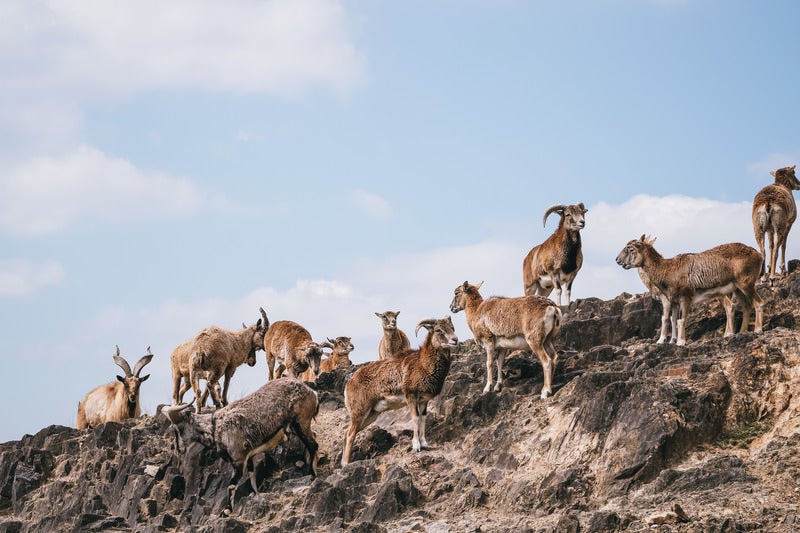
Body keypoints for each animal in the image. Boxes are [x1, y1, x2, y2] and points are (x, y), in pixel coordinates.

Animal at [162, 376, 318, 492]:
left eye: (179, 428)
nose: (179, 449)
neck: (215, 427)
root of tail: (312, 392)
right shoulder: (248, 459)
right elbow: (252, 481)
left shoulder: (238, 459)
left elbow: (231, 485)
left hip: (301, 422)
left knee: (313, 445)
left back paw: (312, 474)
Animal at [340, 316, 460, 466]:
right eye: (438, 330)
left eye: (452, 327)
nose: (455, 340)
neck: (423, 365)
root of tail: (349, 383)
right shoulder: (411, 397)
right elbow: (415, 418)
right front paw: (416, 446)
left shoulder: (423, 401)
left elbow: (423, 418)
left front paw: (425, 444)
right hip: (360, 411)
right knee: (350, 434)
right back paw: (346, 463)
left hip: (371, 415)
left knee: (348, 433)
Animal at [616, 236, 764, 344]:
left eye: (631, 249)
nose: (618, 260)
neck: (667, 270)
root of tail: (758, 255)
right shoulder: (675, 302)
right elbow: (673, 320)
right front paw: (672, 341)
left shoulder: (684, 299)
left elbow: (678, 320)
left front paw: (679, 342)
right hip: (738, 289)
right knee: (745, 306)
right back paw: (741, 332)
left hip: (746, 285)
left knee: (758, 303)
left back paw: (757, 330)